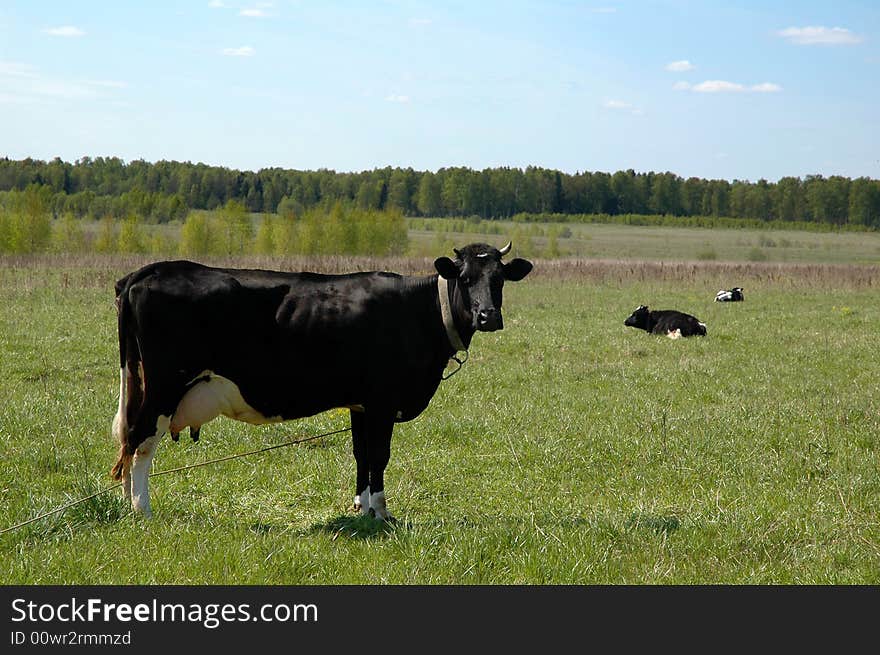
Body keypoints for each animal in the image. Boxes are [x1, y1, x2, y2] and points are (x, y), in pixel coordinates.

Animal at [112, 243, 532, 520]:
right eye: (465, 278)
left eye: (499, 279)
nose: (488, 316)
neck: (417, 311)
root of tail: (149, 270)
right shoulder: (382, 402)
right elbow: (379, 455)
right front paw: (382, 513)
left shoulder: (362, 404)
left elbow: (361, 454)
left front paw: (361, 506)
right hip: (163, 387)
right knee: (141, 441)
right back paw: (142, 508)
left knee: (130, 440)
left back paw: (129, 503)